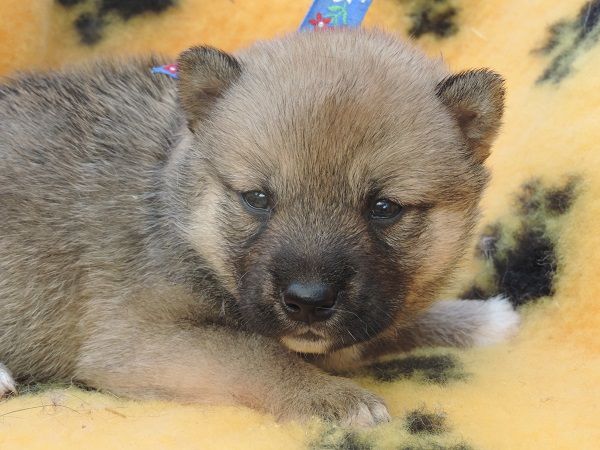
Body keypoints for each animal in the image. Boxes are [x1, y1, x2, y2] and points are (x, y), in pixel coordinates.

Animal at [0, 29, 516, 426]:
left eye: (384, 207)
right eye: (258, 199)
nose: (308, 302)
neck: (177, 210)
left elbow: (386, 327)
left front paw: (479, 319)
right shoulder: (136, 335)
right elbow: (253, 353)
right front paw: (332, 397)